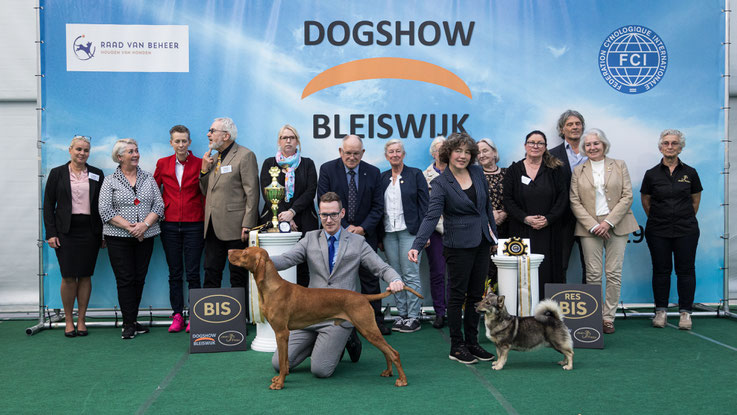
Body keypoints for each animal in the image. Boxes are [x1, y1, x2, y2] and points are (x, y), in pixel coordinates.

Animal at [224, 247, 422, 390]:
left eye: (244, 252)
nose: (229, 251)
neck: (272, 288)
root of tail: (362, 296)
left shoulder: (281, 333)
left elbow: (281, 360)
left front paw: (280, 383)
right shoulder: (283, 334)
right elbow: (285, 361)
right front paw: (281, 377)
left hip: (368, 328)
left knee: (393, 352)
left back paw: (402, 380)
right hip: (370, 330)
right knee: (387, 351)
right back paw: (388, 372)